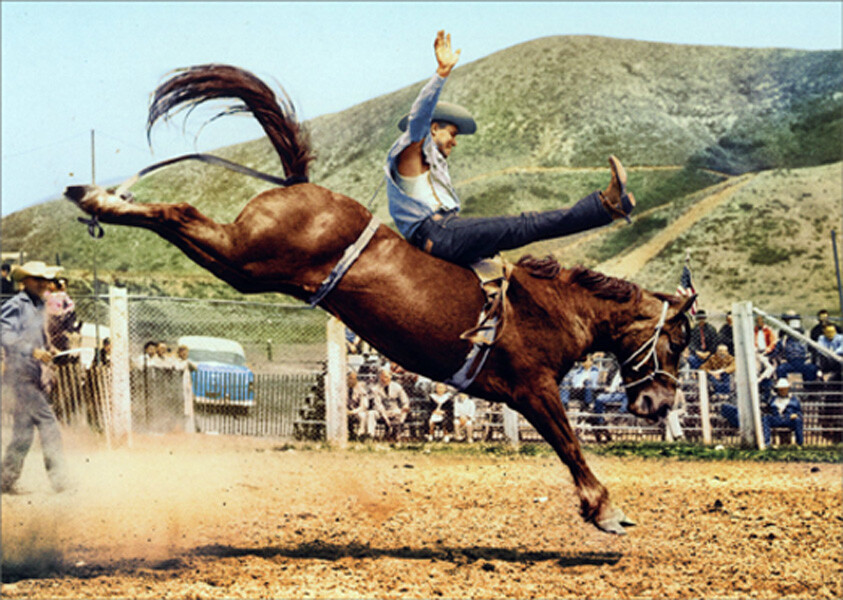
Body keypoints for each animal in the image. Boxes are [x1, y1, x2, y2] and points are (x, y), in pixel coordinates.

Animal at [65, 64, 695, 536]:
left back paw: (95, 197)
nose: (662, 403)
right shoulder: (533, 388)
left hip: (243, 266)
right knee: (179, 212)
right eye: (679, 341)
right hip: (246, 255)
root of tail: (299, 185)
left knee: (183, 224)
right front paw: (606, 511)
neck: (554, 305)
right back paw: (98, 196)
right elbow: (570, 444)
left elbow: (568, 444)